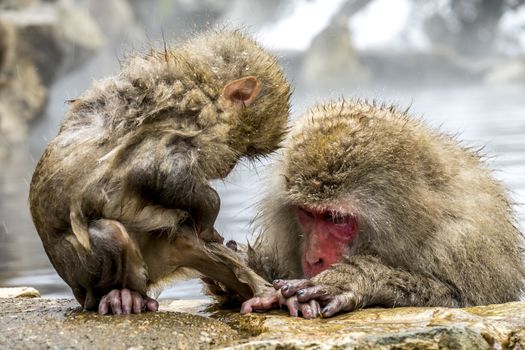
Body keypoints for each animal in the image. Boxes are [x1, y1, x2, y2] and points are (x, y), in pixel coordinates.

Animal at [28, 30, 288, 314]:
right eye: (245, 147)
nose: (228, 167)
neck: (202, 86)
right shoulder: (185, 124)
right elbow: (150, 174)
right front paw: (209, 215)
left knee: (191, 244)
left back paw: (260, 292)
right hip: (78, 268)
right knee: (112, 235)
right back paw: (120, 295)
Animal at [241, 100, 524, 318]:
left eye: (335, 218)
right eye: (308, 213)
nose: (313, 258)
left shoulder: (464, 245)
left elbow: (463, 302)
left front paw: (355, 278)